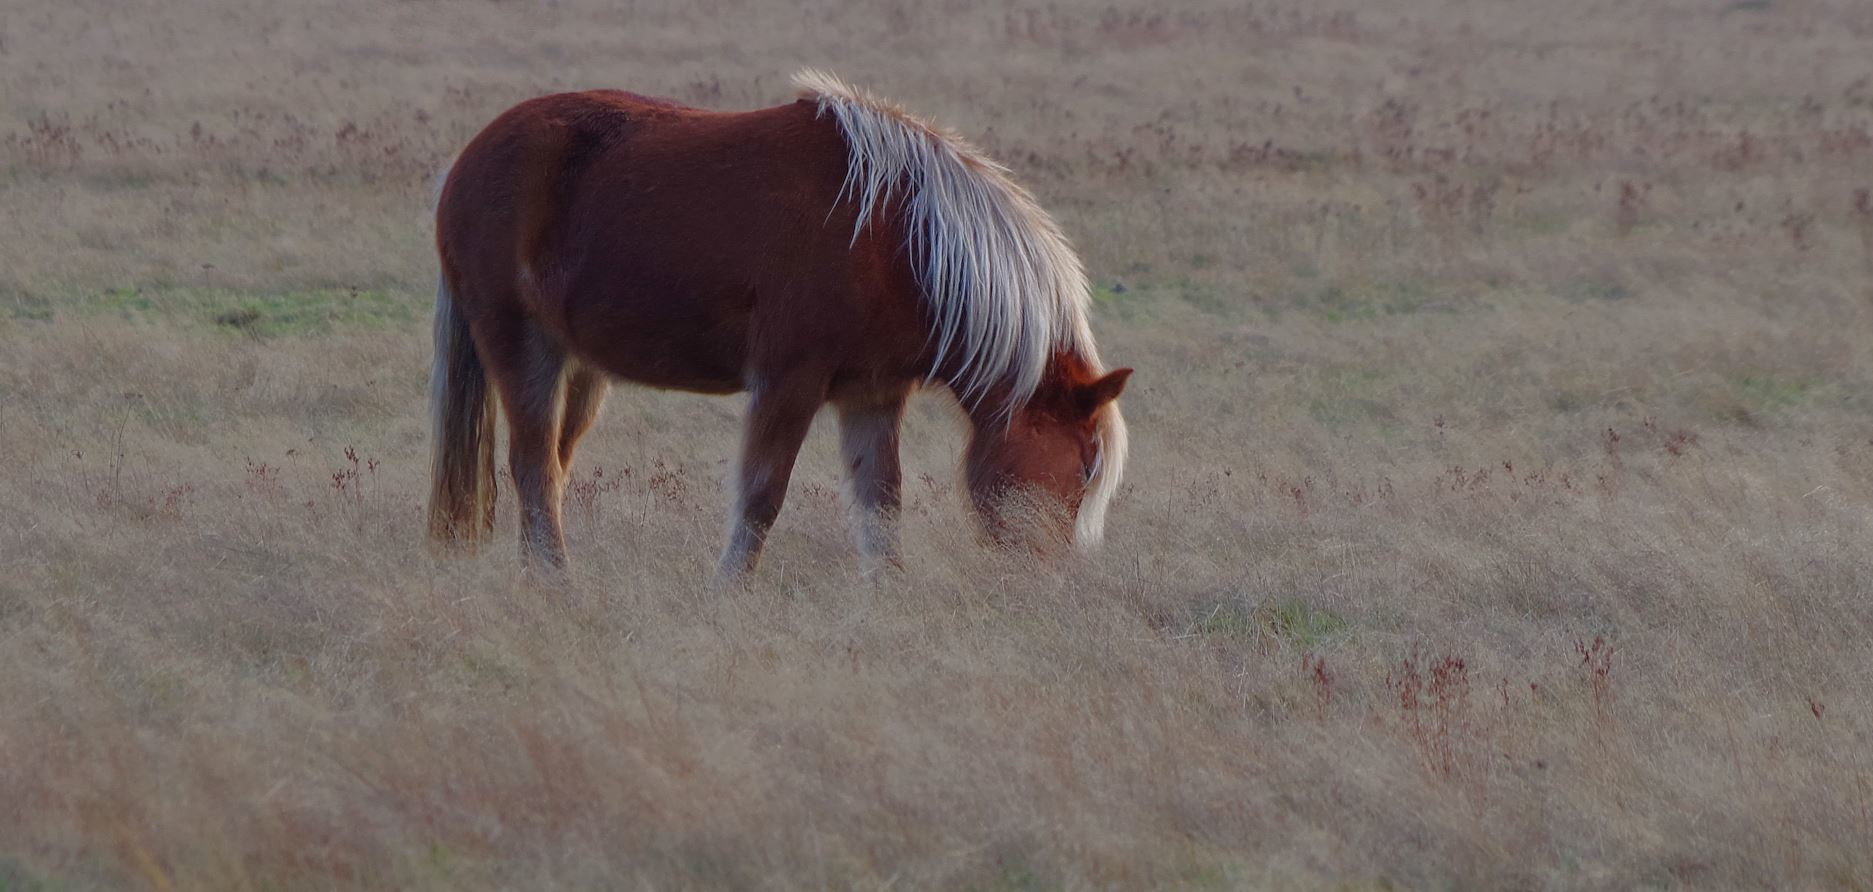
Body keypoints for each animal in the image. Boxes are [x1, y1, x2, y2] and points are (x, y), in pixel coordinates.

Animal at [425, 69, 1123, 577]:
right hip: (522, 349)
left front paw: (888, 594)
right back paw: (555, 582)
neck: (893, 237)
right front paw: (730, 590)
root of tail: (466, 163)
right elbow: (763, 495)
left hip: (578, 369)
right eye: (1085, 470)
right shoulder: (789, 382)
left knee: (552, 466)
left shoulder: (872, 395)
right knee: (532, 466)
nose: (1046, 580)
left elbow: (881, 504)